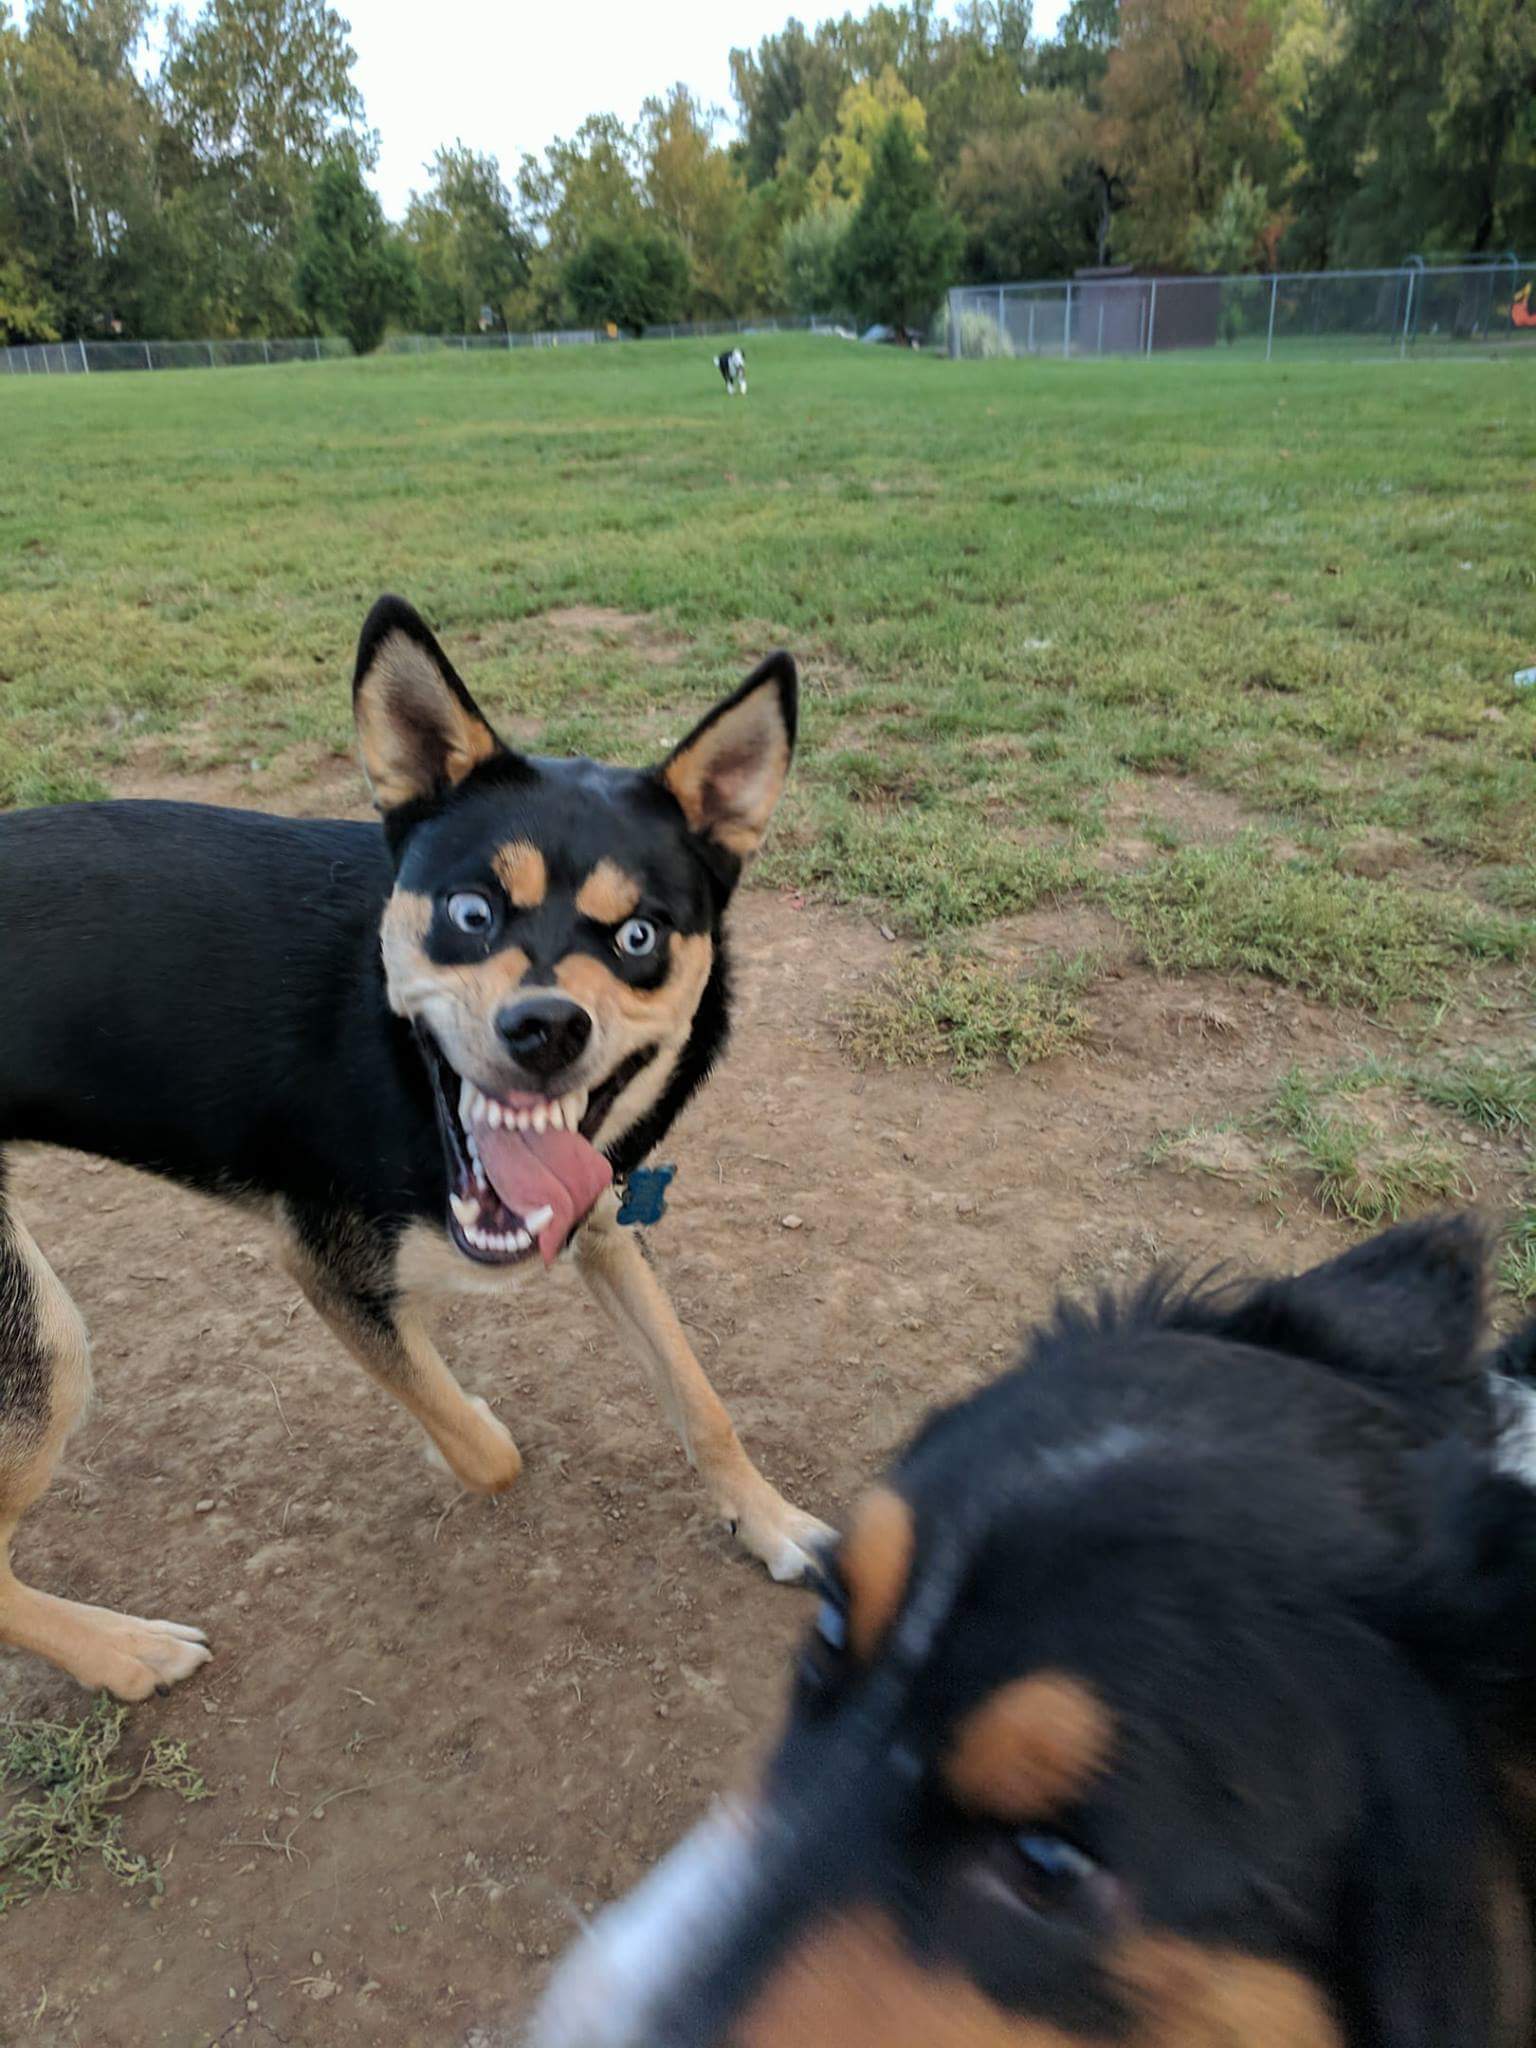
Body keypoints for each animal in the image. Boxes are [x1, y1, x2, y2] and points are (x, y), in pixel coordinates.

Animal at [0, 593, 835, 1695]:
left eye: (641, 936)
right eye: (472, 911)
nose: (546, 1027)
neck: (397, 1049)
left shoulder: (601, 1219)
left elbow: (699, 1397)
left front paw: (769, 1520)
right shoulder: (327, 1263)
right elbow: (487, 1447)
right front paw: (457, 1424)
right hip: (40, 1336)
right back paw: (125, 1652)